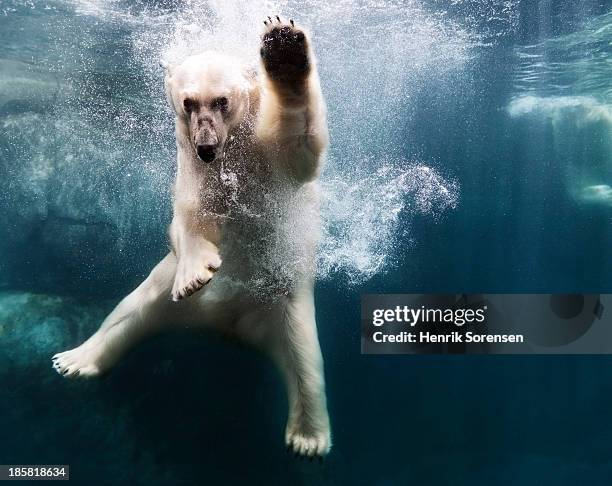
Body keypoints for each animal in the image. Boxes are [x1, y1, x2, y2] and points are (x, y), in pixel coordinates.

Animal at [51, 17, 330, 458]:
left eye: (222, 101)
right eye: (188, 103)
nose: (206, 147)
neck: (233, 148)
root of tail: (228, 325)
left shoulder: (267, 158)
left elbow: (299, 146)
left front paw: (283, 48)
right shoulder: (194, 171)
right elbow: (189, 218)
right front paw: (196, 273)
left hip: (286, 302)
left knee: (304, 359)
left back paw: (307, 438)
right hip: (164, 292)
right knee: (129, 312)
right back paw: (75, 359)